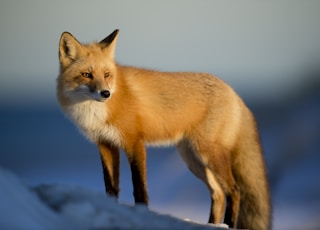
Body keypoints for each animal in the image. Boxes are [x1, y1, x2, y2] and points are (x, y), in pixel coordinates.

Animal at [57, 29, 270, 229]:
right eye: (87, 75)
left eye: (107, 74)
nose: (105, 93)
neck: (96, 111)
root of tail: (234, 92)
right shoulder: (105, 145)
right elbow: (111, 187)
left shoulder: (134, 142)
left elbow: (139, 187)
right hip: (193, 159)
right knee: (218, 193)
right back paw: (212, 224)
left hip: (209, 154)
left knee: (234, 190)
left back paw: (228, 225)